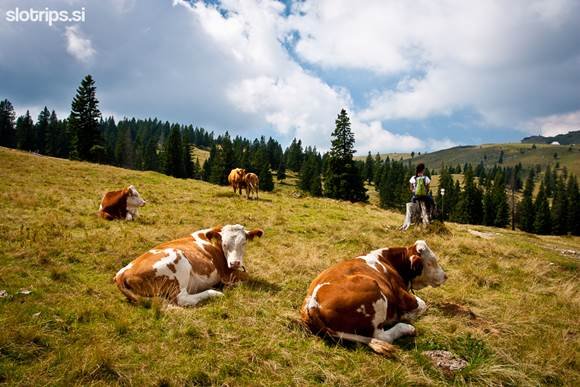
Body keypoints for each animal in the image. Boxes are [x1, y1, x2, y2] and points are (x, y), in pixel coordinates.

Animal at [114, 224, 264, 306]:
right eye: (224, 244)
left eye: (244, 243)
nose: (234, 262)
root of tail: (121, 274)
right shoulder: (226, 273)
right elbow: (247, 276)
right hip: (178, 262)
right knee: (182, 299)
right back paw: (215, 292)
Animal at [302, 241, 446, 356]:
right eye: (431, 262)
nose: (446, 276)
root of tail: (312, 303)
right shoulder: (403, 295)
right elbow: (423, 305)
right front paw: (408, 315)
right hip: (375, 291)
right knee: (382, 336)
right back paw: (406, 328)